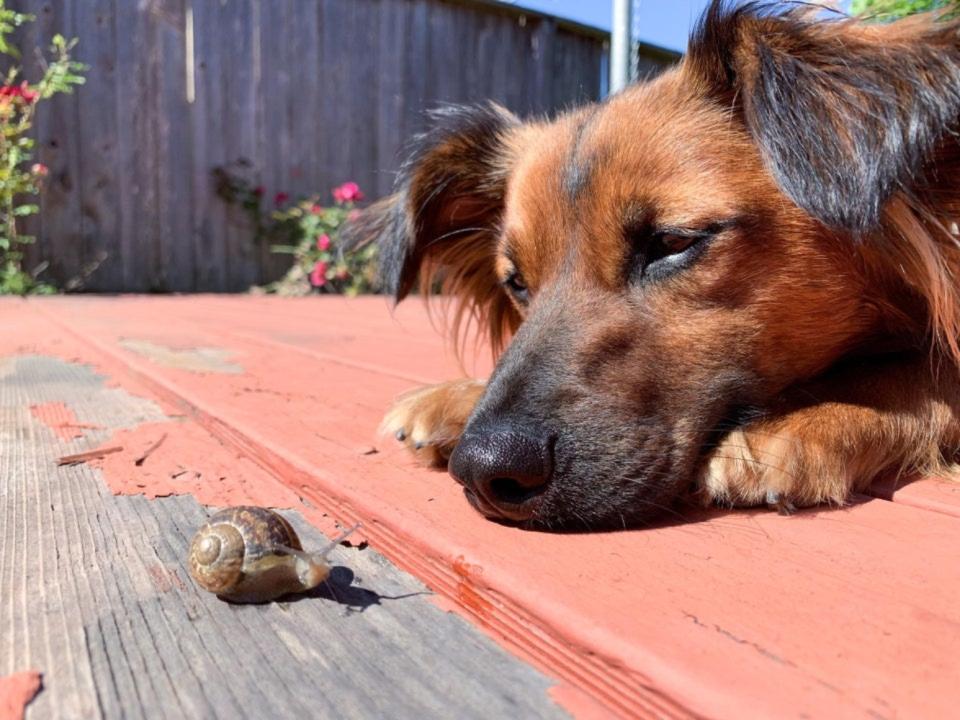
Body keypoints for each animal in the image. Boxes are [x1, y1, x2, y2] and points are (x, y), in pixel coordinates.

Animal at [350, 0, 960, 528]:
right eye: (517, 283)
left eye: (671, 242)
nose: (484, 468)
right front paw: (458, 396)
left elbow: (927, 373)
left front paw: (803, 420)